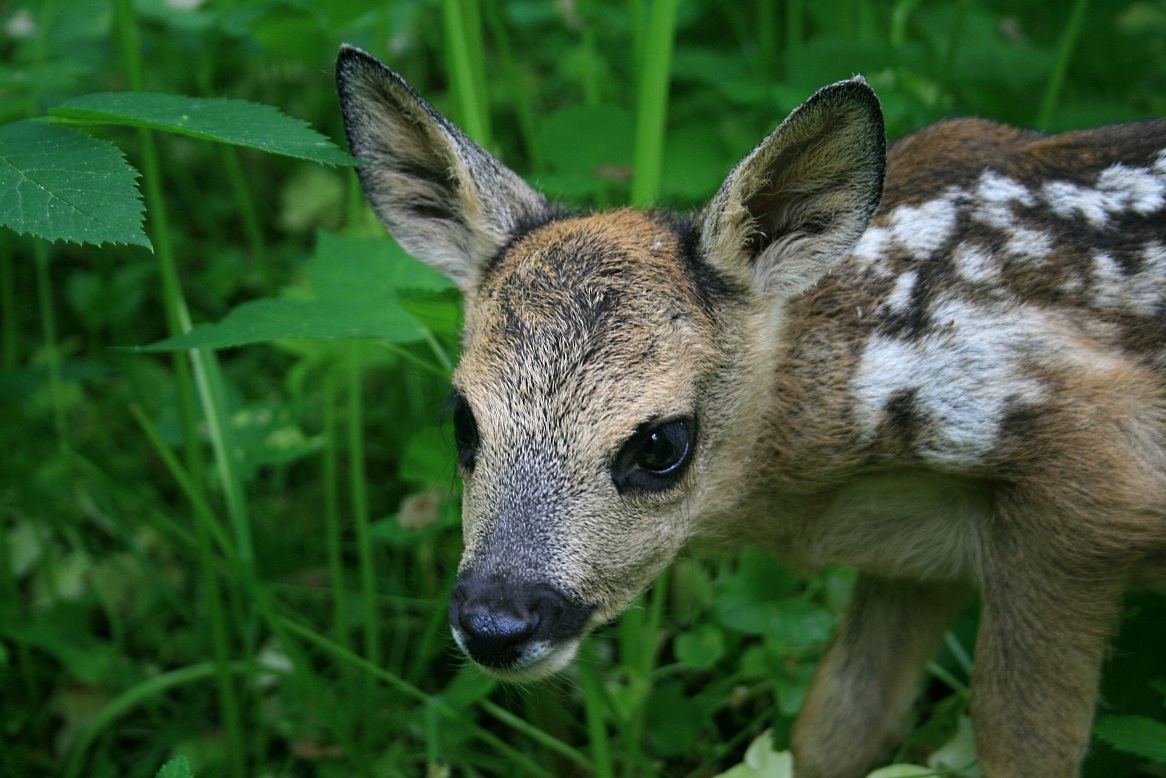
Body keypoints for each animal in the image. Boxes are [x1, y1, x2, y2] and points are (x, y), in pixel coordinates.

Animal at [338, 47, 1166, 778]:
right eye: (461, 419)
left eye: (661, 444)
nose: (496, 623)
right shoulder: (921, 557)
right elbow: (833, 727)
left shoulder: (1092, 488)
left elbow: (1020, 747)